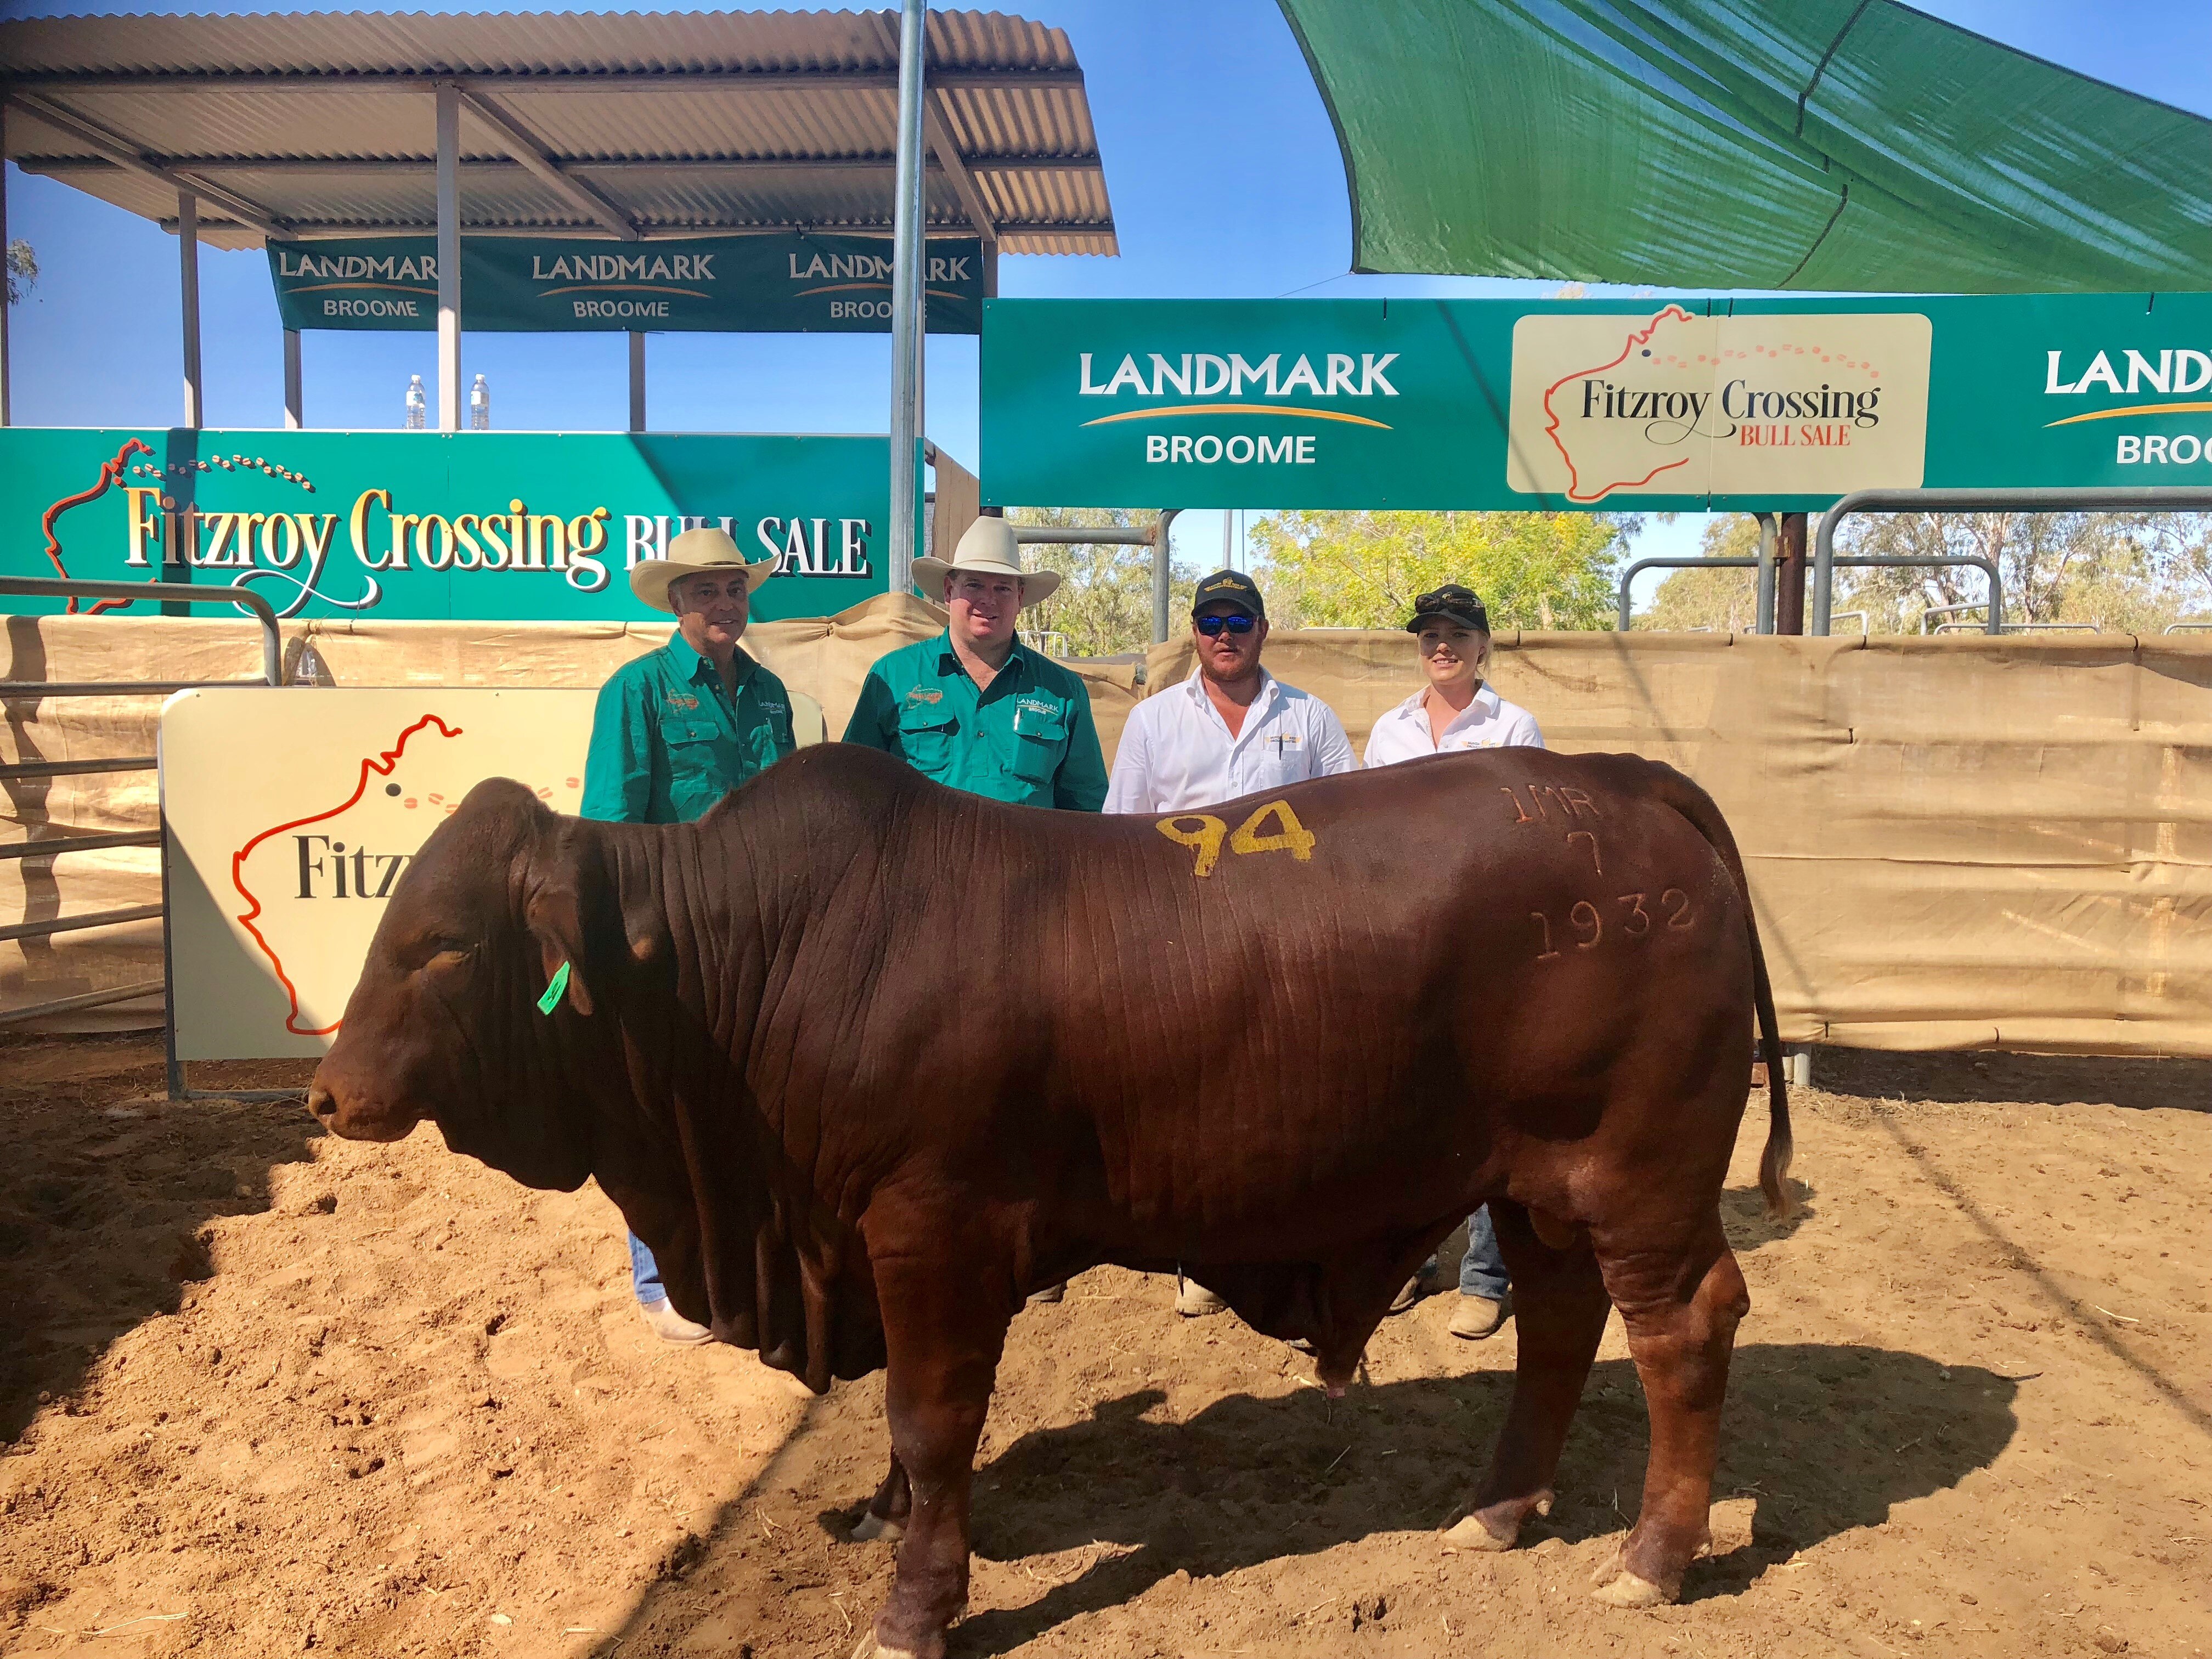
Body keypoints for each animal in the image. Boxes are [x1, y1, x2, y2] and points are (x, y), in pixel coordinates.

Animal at [307, 741, 1792, 1659]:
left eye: (445, 945)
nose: (327, 1096)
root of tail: (1619, 779)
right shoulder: (864, 1242)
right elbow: (905, 1433)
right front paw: (882, 1516)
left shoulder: (934, 1230)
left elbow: (931, 1416)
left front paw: (912, 1611)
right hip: (1537, 1186)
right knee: (1559, 1326)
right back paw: (1498, 1511)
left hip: (1642, 1176)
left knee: (1685, 1331)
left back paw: (1654, 1559)